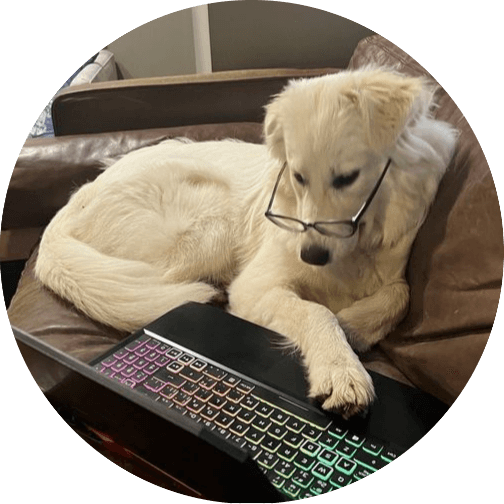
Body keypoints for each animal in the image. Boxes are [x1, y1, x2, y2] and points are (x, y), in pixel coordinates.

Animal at [34, 69, 456, 420]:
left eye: (347, 178)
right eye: (298, 177)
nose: (311, 255)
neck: (353, 250)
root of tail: (76, 201)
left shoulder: (393, 266)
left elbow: (400, 295)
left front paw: (352, 326)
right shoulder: (256, 285)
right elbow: (317, 312)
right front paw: (340, 366)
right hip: (211, 223)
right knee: (159, 283)